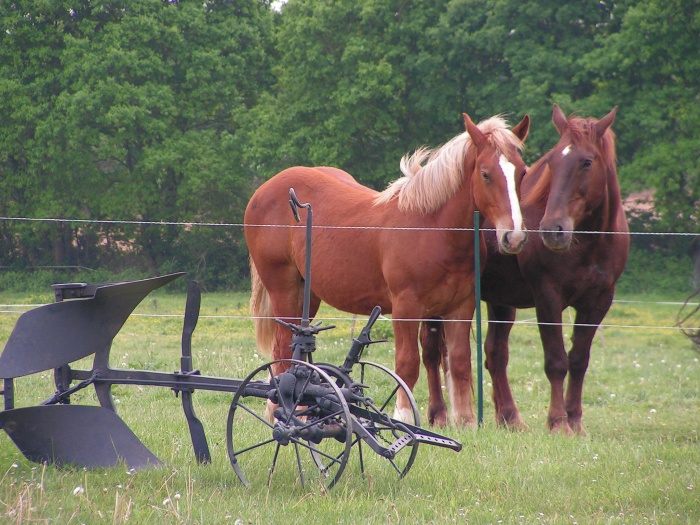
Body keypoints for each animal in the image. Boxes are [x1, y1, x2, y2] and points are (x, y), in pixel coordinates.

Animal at [246, 111, 532, 426]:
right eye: (485, 173)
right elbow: (407, 364)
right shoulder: (406, 306)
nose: (514, 237)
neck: (431, 227)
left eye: (522, 172)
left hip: (307, 294)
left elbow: (458, 362)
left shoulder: (461, 306)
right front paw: (403, 416)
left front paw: (466, 422)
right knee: (283, 346)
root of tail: (263, 191)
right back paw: (281, 410)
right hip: (283, 289)